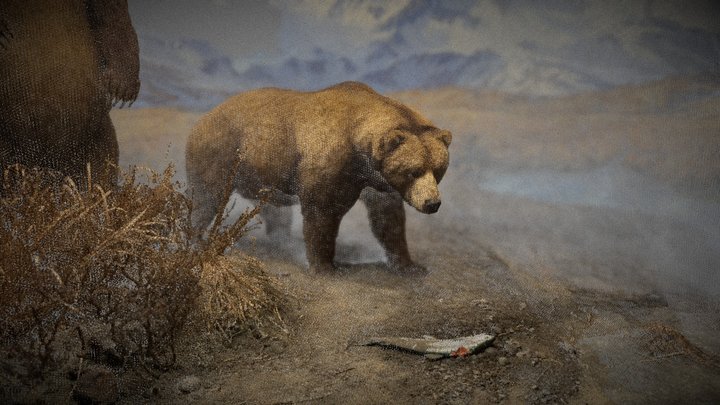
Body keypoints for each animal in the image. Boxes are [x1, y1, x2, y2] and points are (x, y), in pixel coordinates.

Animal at [185, 81, 452, 273]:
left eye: (438, 170)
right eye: (413, 170)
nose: (432, 203)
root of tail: (203, 118)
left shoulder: (377, 184)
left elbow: (388, 219)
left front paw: (408, 264)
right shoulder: (331, 163)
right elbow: (321, 212)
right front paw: (325, 266)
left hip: (259, 172)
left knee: (272, 210)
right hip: (221, 153)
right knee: (207, 197)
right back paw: (198, 241)